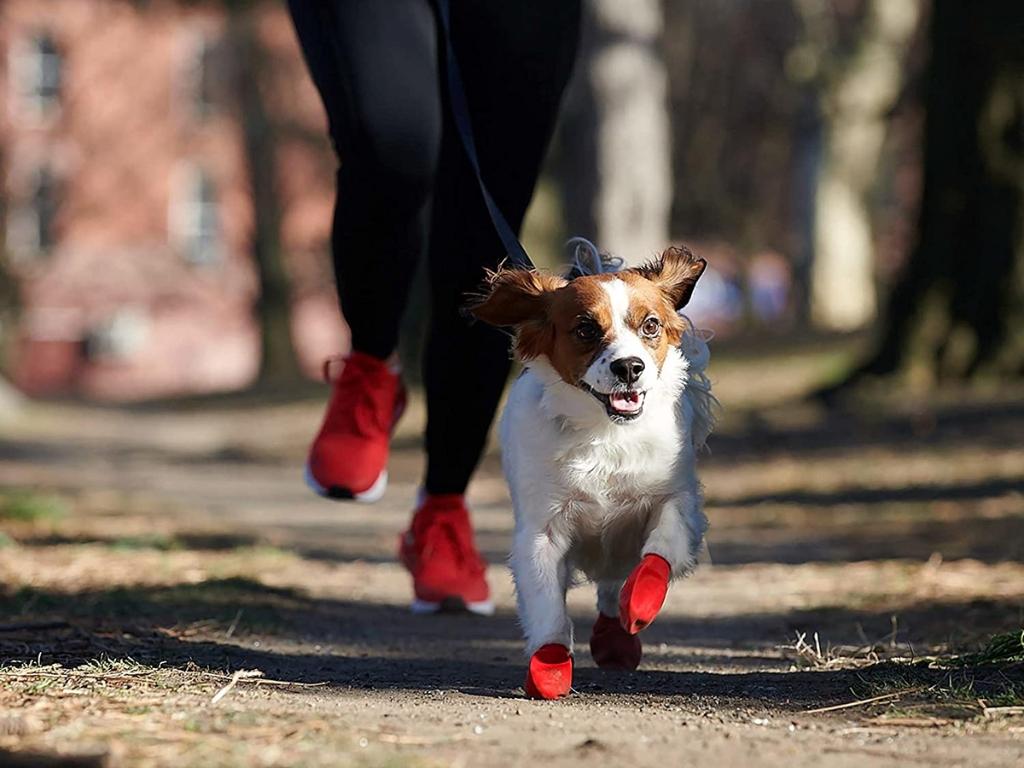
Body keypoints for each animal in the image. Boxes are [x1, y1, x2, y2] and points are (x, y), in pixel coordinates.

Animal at [468, 243, 716, 700]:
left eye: (651, 325)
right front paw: (549, 665)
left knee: (613, 584)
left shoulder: (676, 499)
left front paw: (641, 601)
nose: (629, 367)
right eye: (585, 329)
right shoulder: (542, 532)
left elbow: (661, 549)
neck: (606, 433)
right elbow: (547, 605)